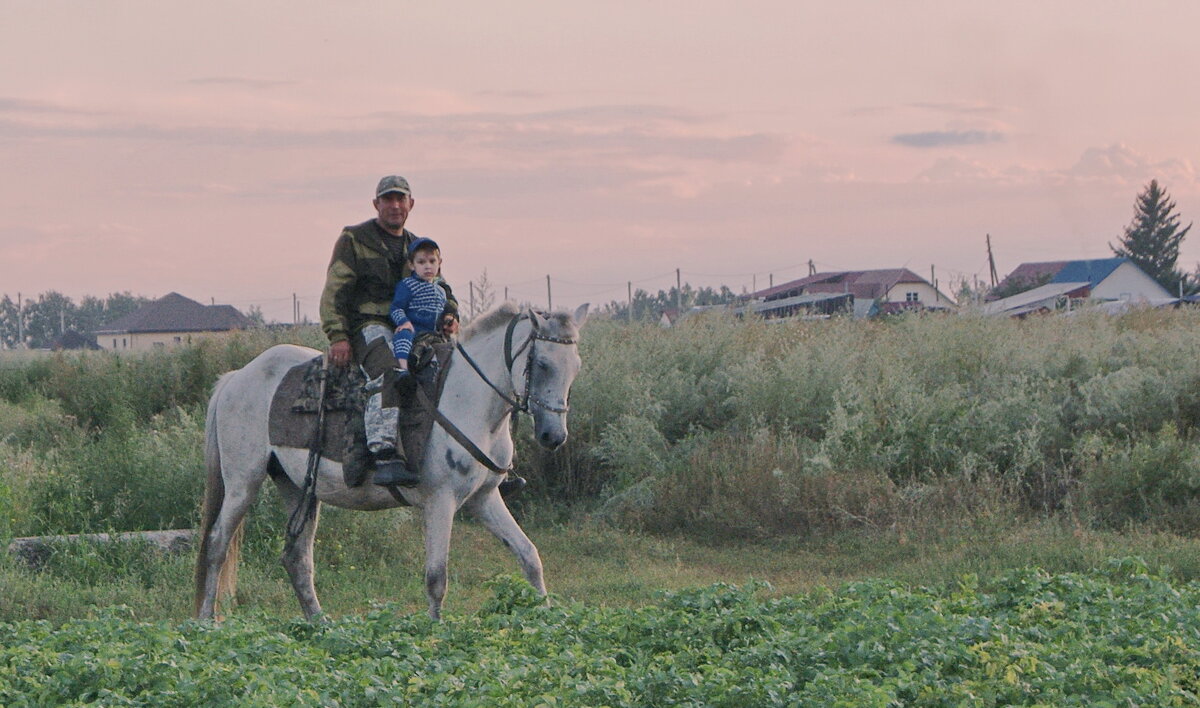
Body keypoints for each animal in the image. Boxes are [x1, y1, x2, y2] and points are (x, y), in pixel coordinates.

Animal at [193, 304, 585, 624]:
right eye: (543, 364)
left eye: (575, 368)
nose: (553, 436)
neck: (468, 400)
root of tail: (237, 377)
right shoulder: (440, 502)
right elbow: (436, 577)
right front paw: (435, 634)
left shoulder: (484, 499)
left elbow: (529, 556)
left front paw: (548, 618)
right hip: (243, 483)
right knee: (217, 544)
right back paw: (206, 621)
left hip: (297, 488)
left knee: (297, 558)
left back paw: (320, 625)